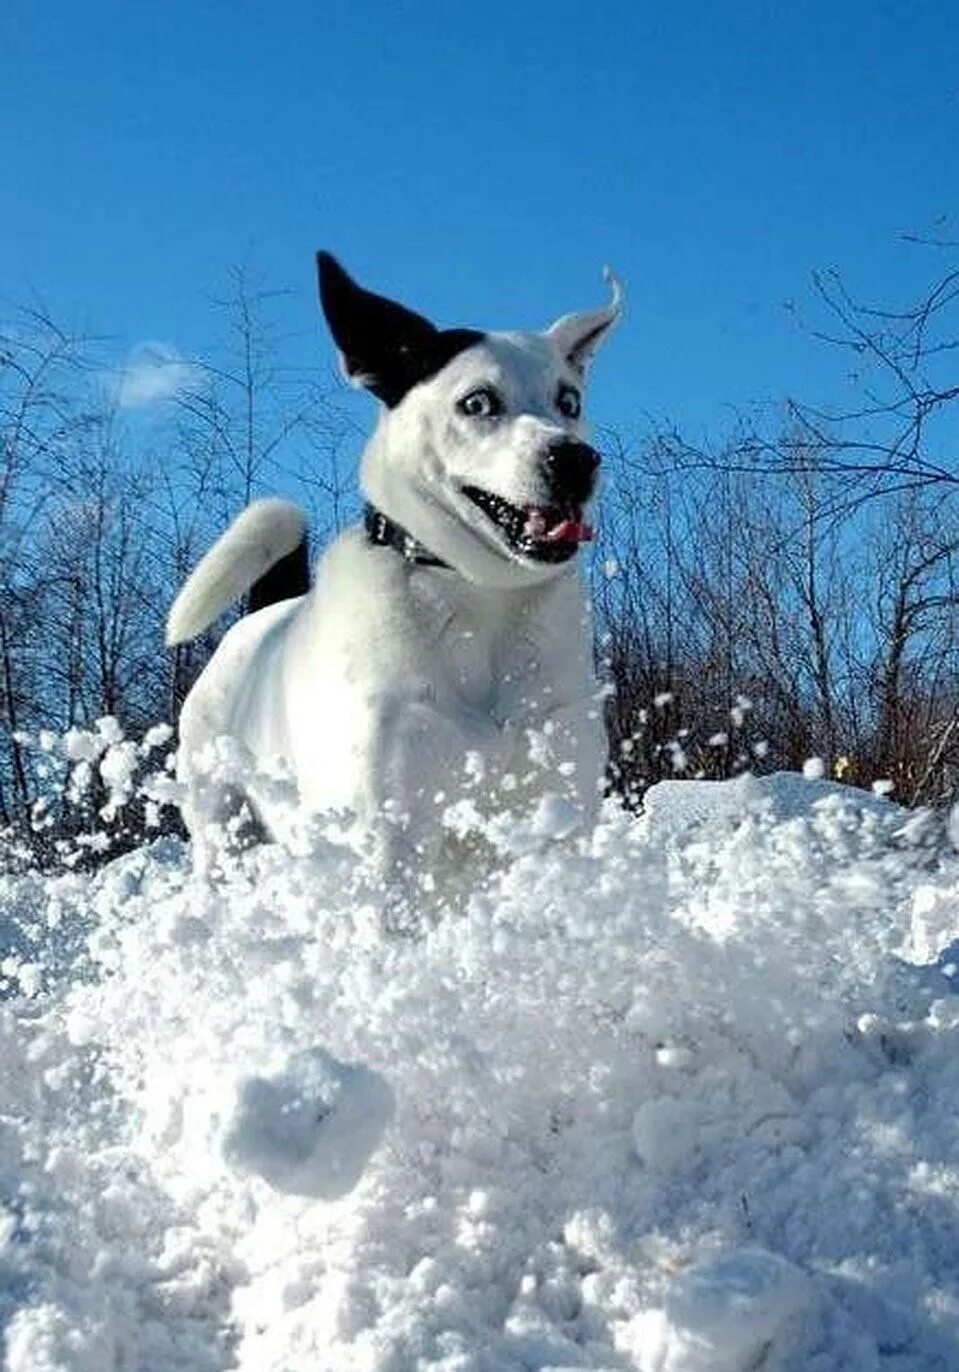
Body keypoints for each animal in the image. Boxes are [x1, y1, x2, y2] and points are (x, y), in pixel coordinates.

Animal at [168, 251, 620, 883]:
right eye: (477, 402)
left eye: (570, 402)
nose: (577, 460)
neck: (478, 595)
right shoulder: (392, 834)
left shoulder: (557, 815)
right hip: (222, 824)